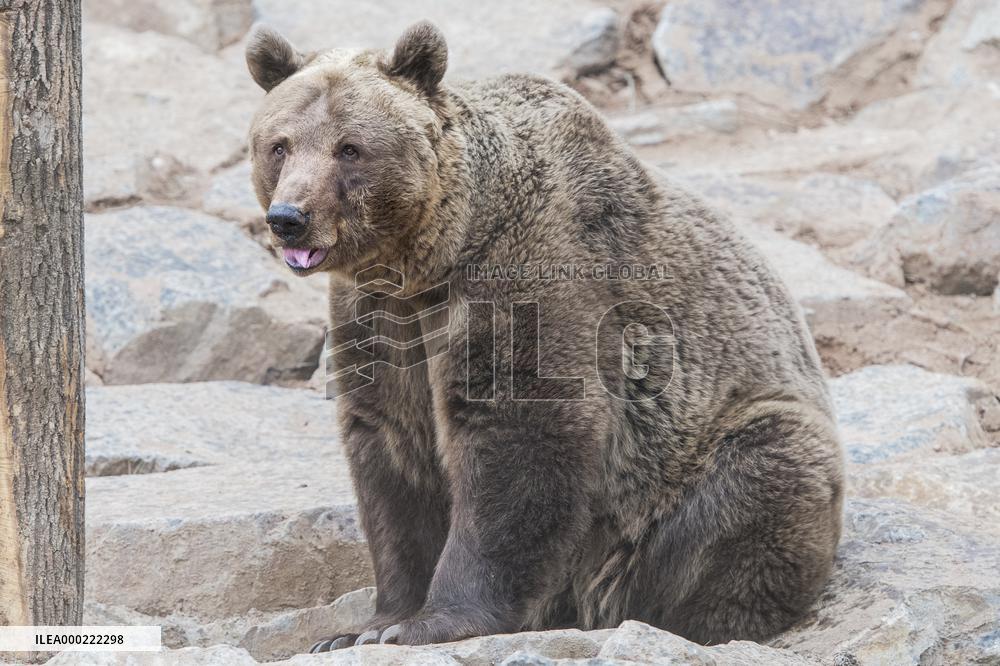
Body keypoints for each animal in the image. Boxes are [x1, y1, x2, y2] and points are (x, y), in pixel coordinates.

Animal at [245, 21, 844, 652]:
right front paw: (366, 626)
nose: (289, 218)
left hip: (701, 462)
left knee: (758, 474)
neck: (432, 256)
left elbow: (521, 433)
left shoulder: (529, 274)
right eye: (280, 145)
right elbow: (392, 450)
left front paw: (430, 620)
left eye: (350, 148)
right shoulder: (379, 317)